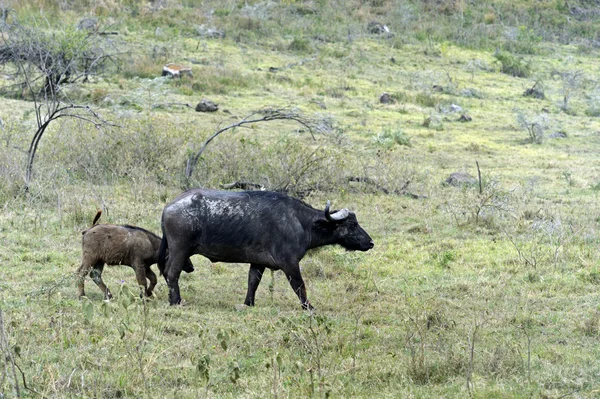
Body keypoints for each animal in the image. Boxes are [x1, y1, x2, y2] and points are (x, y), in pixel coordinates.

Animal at [158, 190, 376, 310]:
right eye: (352, 225)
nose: (371, 242)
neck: (301, 222)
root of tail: (169, 206)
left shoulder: (258, 263)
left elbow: (252, 282)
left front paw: (248, 303)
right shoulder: (290, 263)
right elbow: (299, 286)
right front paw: (309, 307)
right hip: (181, 249)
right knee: (172, 273)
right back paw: (176, 301)